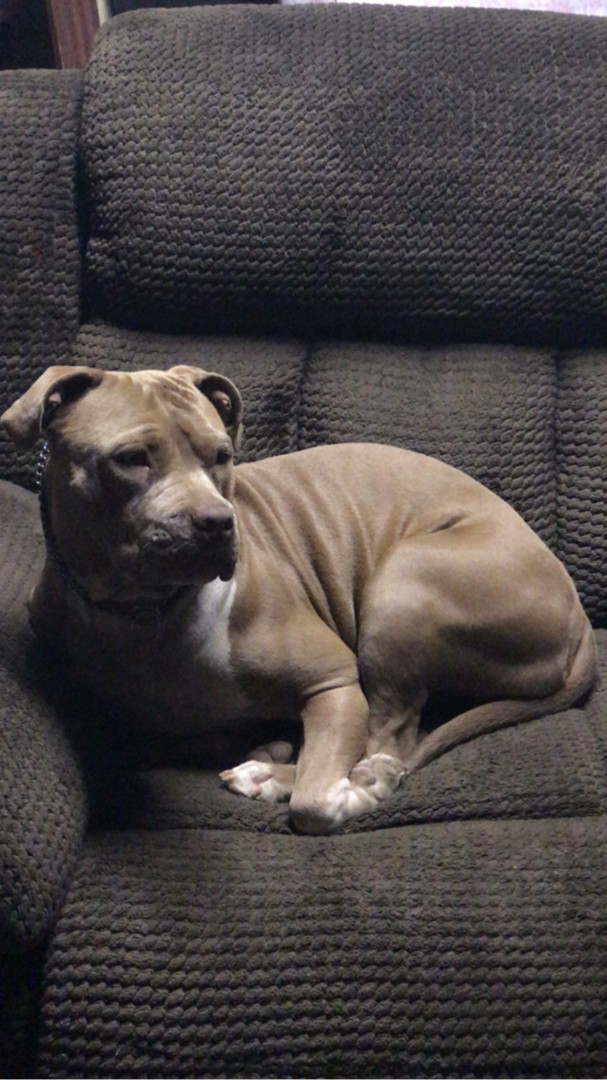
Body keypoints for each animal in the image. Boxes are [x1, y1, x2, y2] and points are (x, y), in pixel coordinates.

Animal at [1, 365, 597, 833]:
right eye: (130, 459)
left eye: (222, 455)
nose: (217, 522)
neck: (147, 617)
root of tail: (580, 620)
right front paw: (271, 747)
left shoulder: (334, 680)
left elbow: (318, 797)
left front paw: (344, 786)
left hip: (403, 585)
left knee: (390, 739)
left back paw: (300, 774)